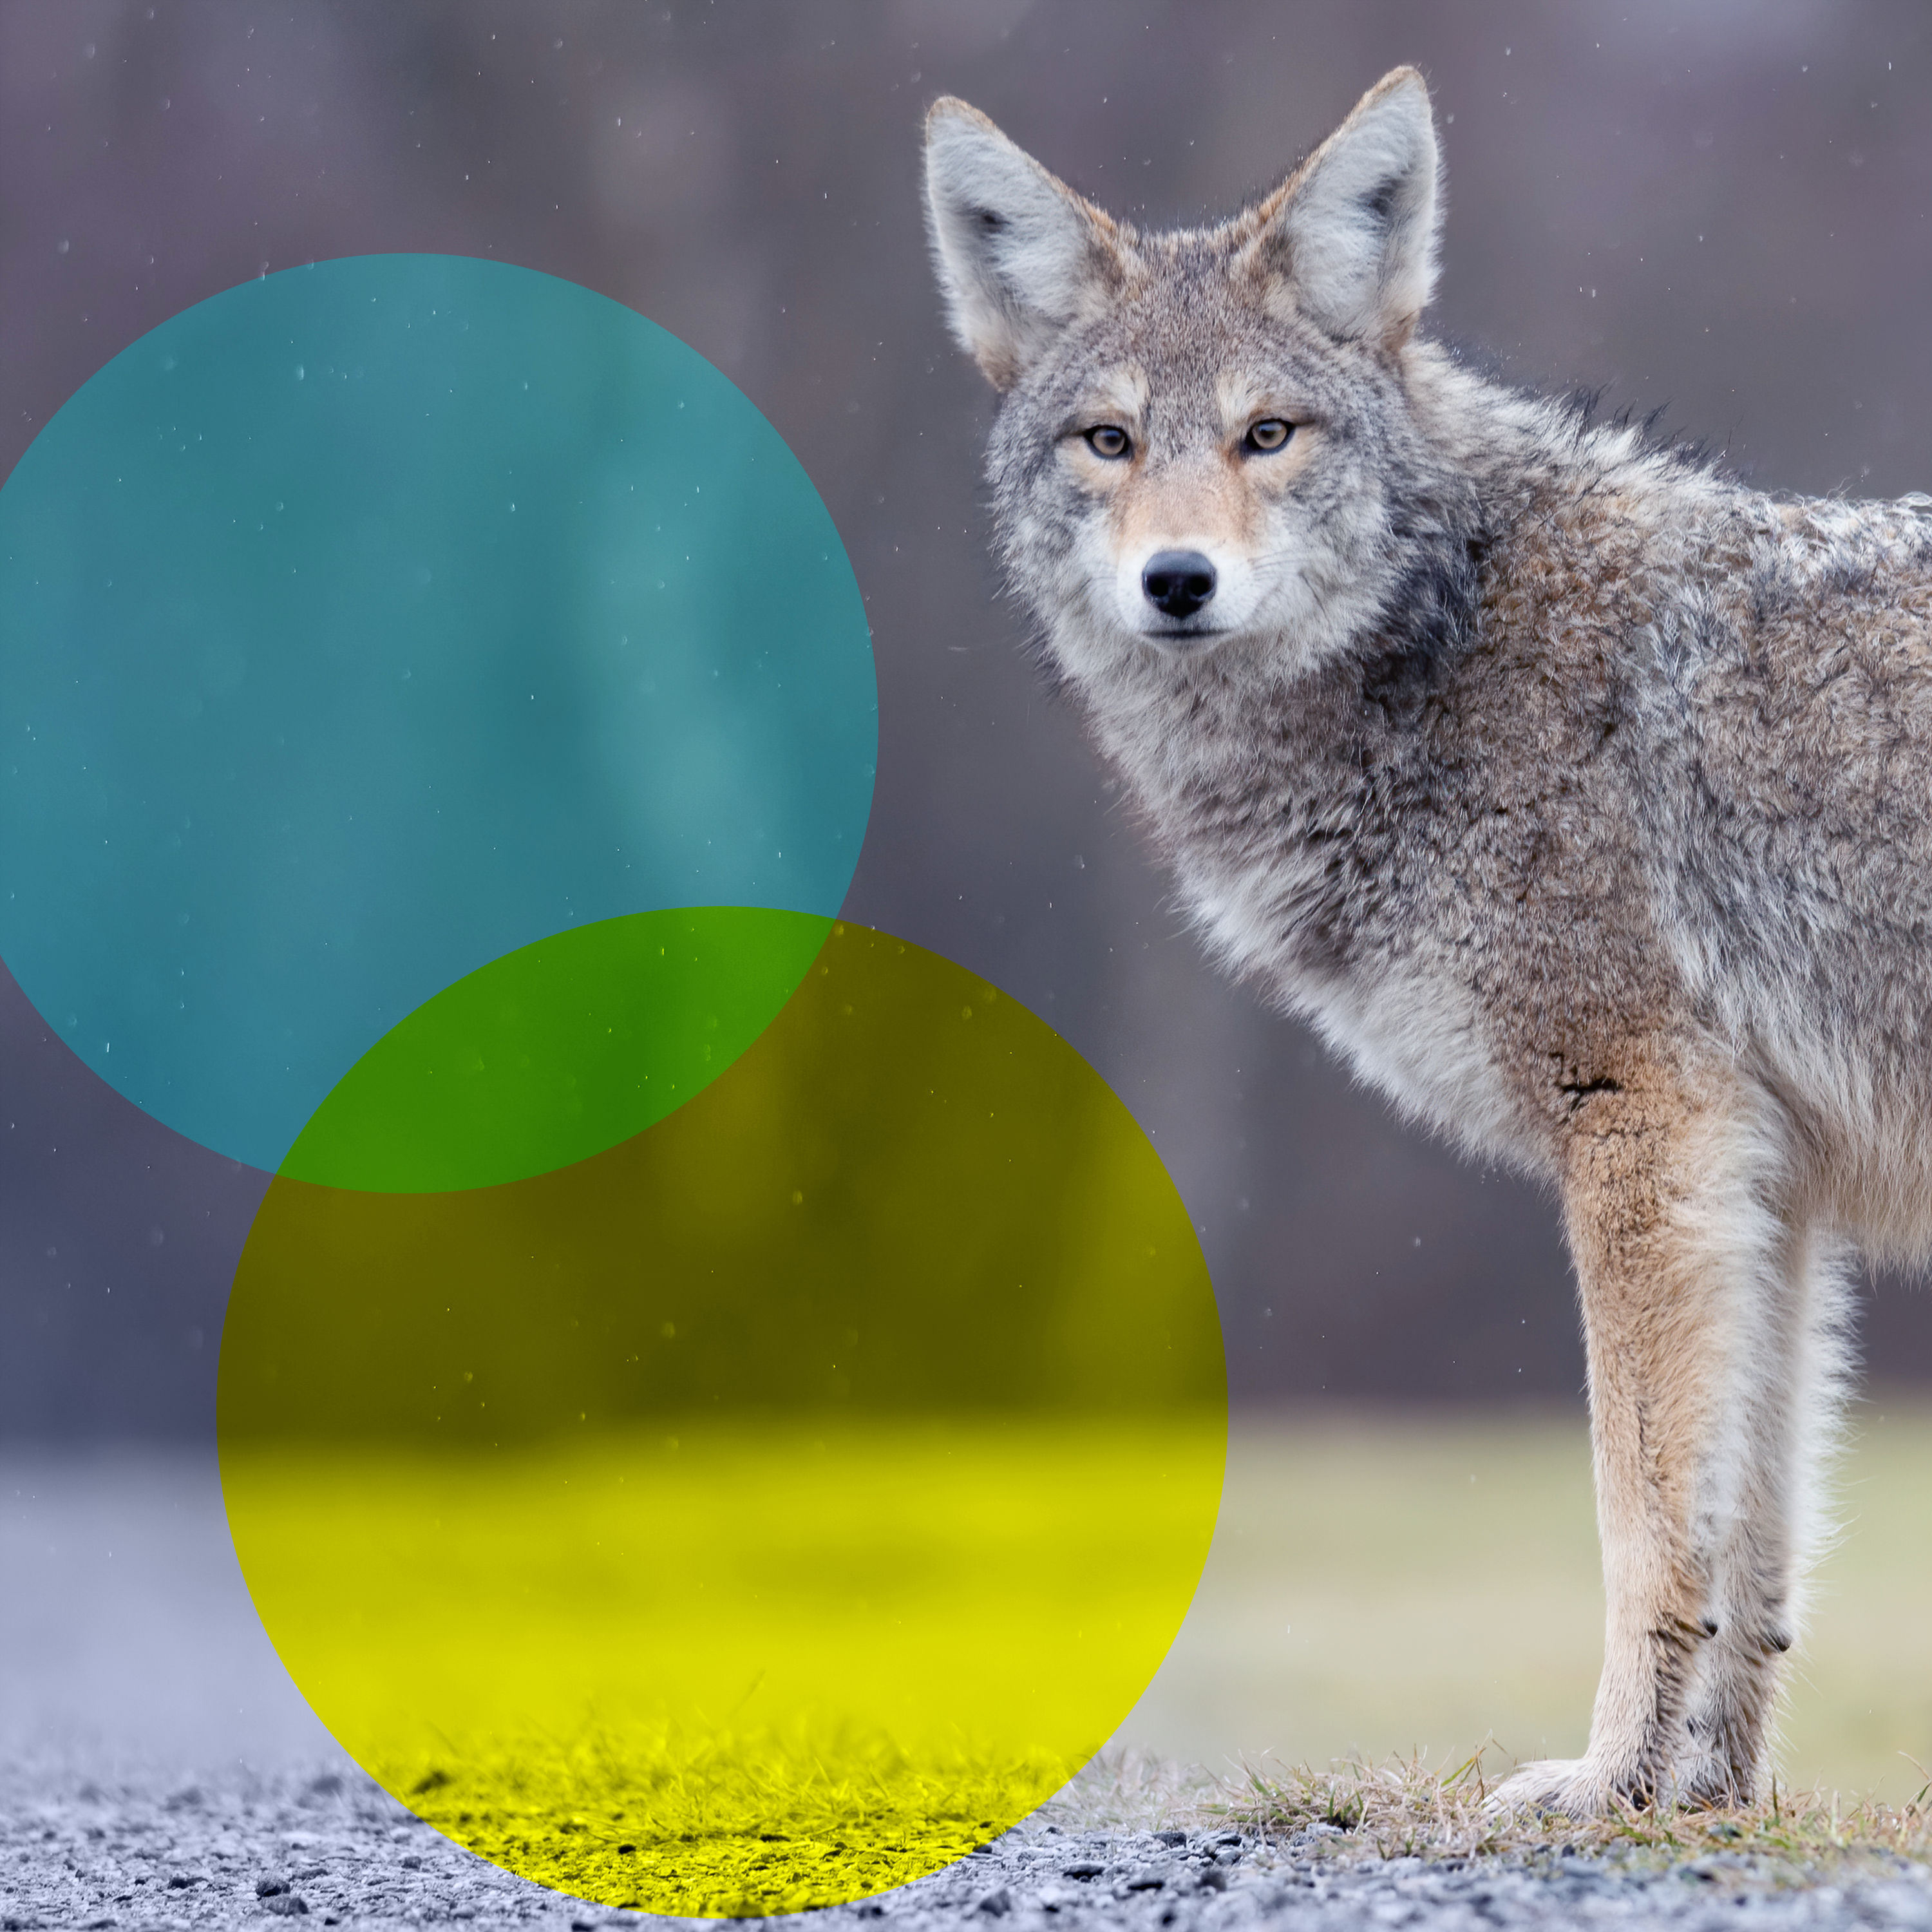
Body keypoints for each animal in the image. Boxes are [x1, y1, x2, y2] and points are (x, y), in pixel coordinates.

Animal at [922, 66, 1932, 1815]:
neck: (1446, 648)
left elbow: (1641, 1522)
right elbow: (1754, 1540)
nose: (1174, 580)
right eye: (1108, 441)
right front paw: (1708, 1799)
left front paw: (1606, 1786)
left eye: (1266, 435)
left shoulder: (1641, 1128)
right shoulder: (1771, 1180)